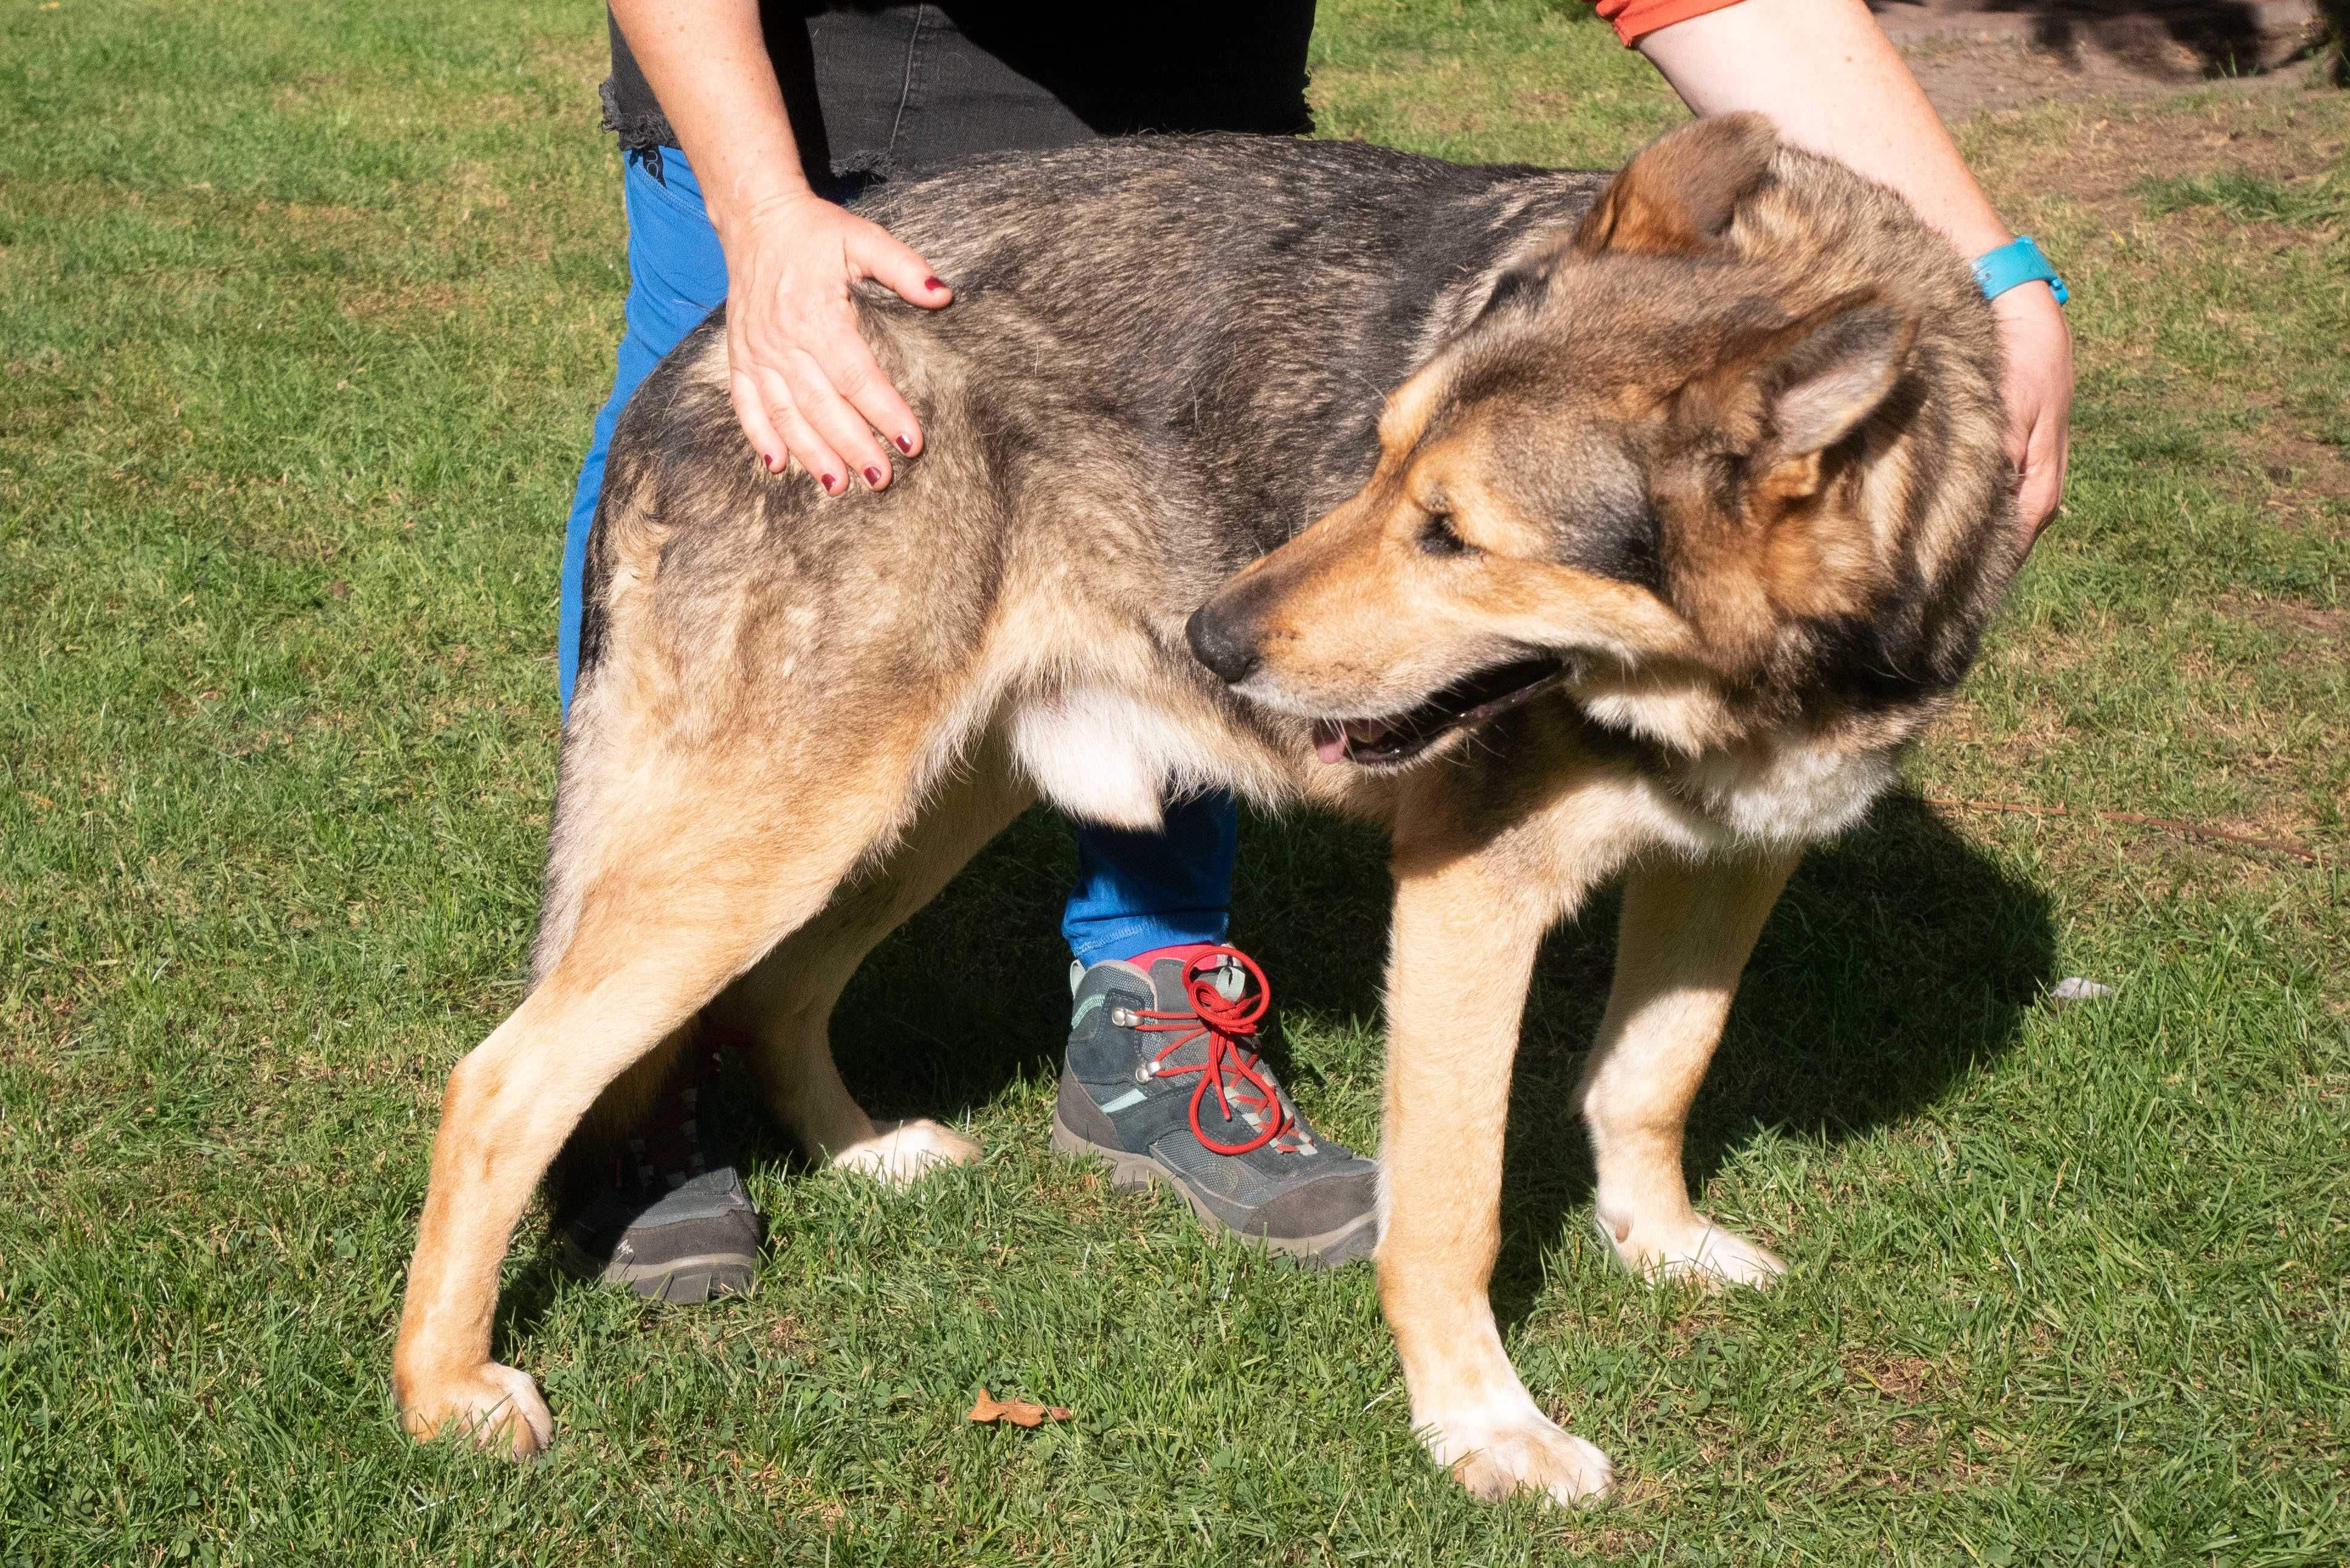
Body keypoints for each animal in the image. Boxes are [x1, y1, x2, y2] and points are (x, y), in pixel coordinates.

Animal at [395, 113, 2011, 1504]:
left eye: (1449, 533)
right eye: (1378, 453)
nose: (1211, 640)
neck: (1737, 684)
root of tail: (706, 345)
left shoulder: (1737, 862)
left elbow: (1655, 1077)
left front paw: (1655, 1241)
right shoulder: (1471, 901)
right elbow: (1454, 1207)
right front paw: (1484, 1426)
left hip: (911, 812)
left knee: (774, 993)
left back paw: (864, 1153)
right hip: (779, 830)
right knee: (504, 1081)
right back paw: (444, 1390)